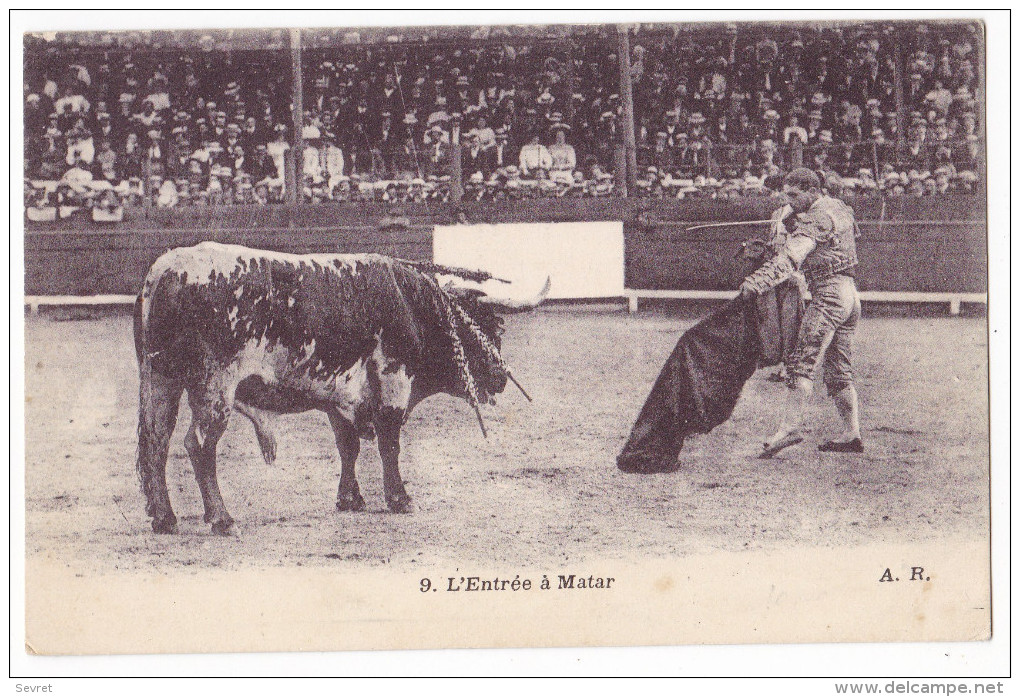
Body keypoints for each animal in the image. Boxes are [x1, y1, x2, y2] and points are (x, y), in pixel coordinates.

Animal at [137, 242, 550, 538]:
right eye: (489, 326)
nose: (500, 377)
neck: (412, 306)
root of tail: (167, 270)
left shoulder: (340, 397)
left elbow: (348, 446)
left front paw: (350, 498)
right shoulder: (393, 385)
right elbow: (389, 445)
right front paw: (400, 499)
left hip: (160, 380)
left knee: (156, 442)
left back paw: (165, 519)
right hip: (214, 387)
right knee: (198, 444)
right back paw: (222, 519)